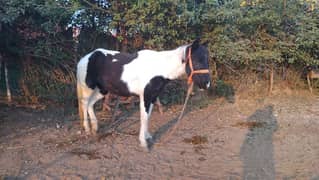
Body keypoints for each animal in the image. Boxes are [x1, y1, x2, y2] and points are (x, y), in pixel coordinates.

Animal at [77, 39, 212, 148]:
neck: (159, 68)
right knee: (84, 104)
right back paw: (87, 129)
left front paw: (147, 137)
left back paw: (95, 128)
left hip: (101, 90)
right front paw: (143, 142)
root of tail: (84, 59)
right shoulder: (145, 96)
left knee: (90, 104)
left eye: (207, 60)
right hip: (88, 88)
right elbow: (144, 117)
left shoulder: (152, 97)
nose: (207, 84)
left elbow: (148, 116)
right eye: (197, 60)